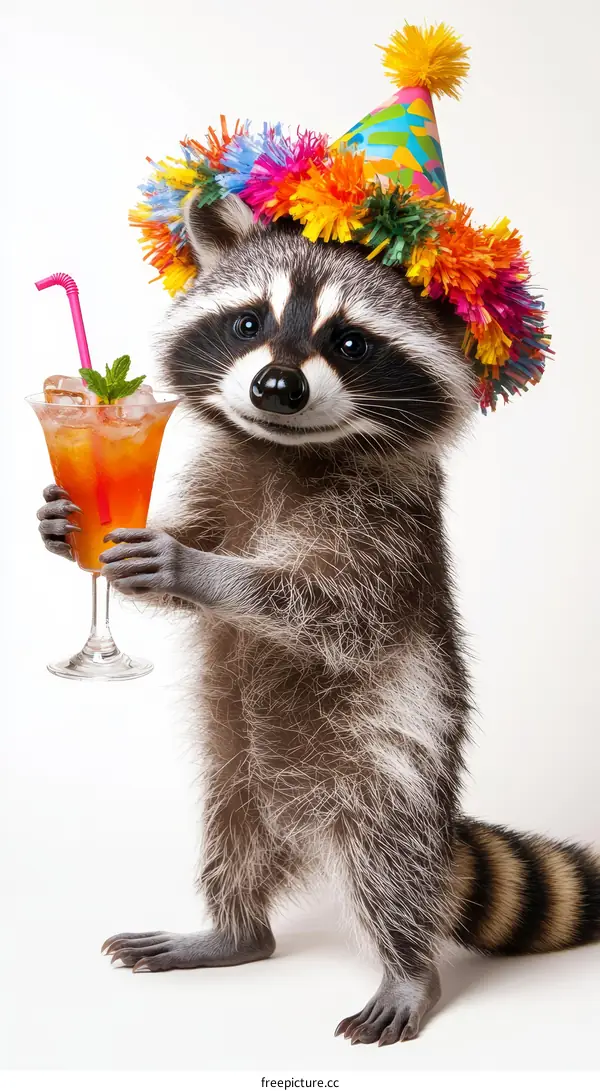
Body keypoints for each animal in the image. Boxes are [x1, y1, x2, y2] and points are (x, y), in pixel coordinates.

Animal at [38, 196, 600, 1045]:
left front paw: (197, 569)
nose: (277, 385)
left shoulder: (389, 527)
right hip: (234, 771)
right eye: (249, 323)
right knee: (230, 842)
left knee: (391, 865)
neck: (284, 449)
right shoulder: (222, 479)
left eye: (349, 341)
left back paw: (408, 967)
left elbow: (335, 611)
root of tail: (299, 818)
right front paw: (75, 526)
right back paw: (233, 928)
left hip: (390, 762)